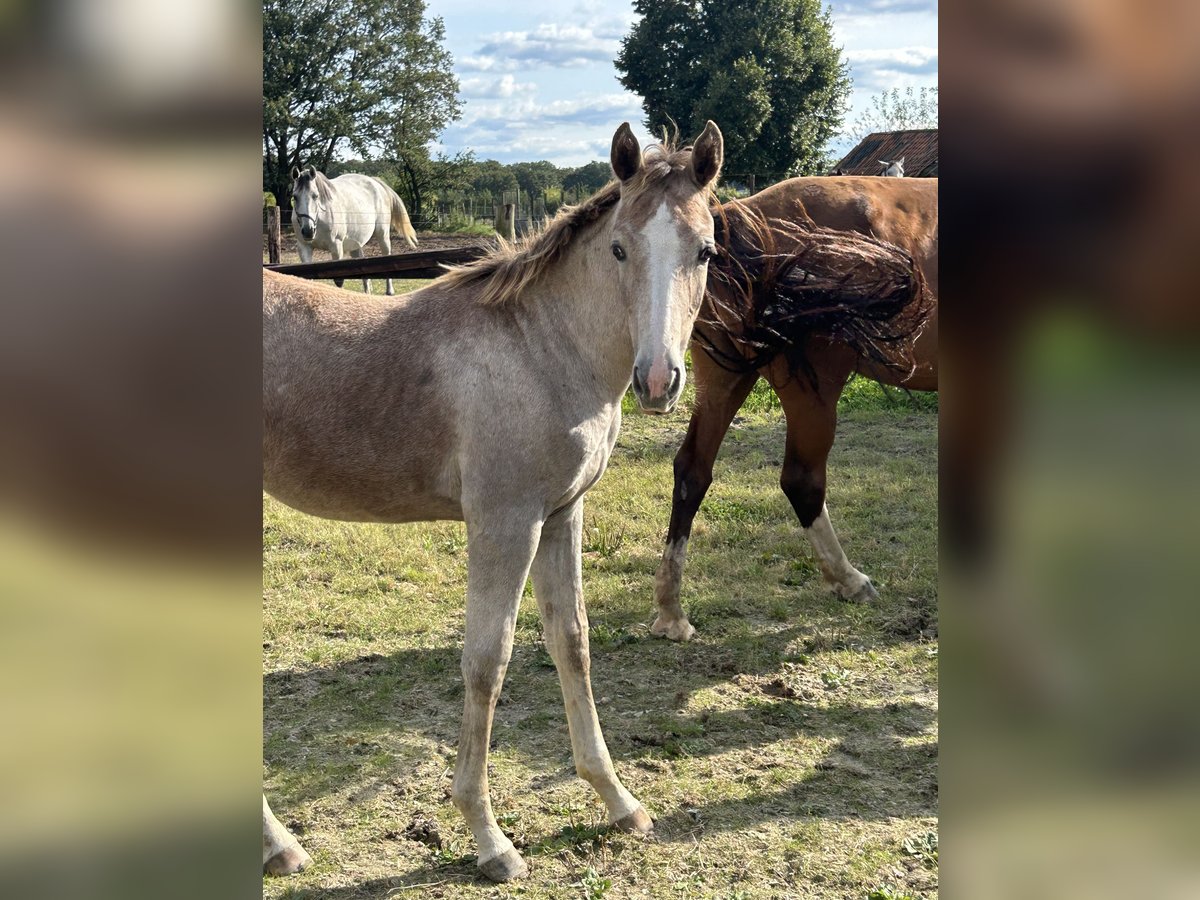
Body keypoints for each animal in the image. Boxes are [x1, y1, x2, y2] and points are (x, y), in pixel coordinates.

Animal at [290, 168, 422, 294]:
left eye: (315, 196)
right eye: (295, 197)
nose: (308, 231)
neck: (320, 217)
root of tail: (375, 182)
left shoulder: (336, 247)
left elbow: (339, 282)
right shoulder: (304, 247)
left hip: (382, 235)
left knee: (386, 255)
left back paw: (389, 291)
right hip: (355, 243)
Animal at [648, 176, 936, 643]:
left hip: (724, 380)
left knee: (692, 472)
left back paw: (671, 610)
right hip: (812, 392)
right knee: (801, 481)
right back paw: (850, 580)